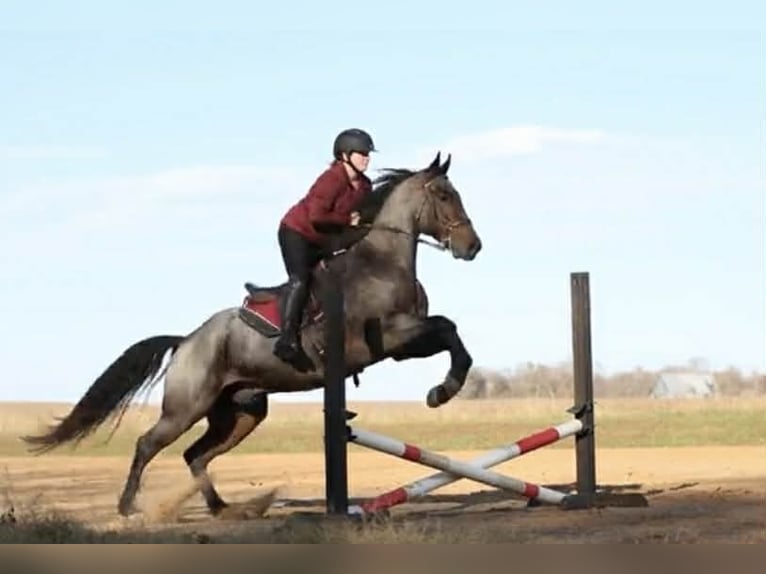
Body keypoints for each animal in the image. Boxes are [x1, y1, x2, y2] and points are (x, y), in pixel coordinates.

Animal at [21, 151, 483, 517]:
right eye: (444, 196)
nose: (472, 246)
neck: (382, 262)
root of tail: (185, 341)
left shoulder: (403, 346)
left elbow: (450, 333)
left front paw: (444, 389)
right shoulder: (388, 336)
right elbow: (446, 326)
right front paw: (444, 391)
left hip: (241, 412)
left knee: (195, 454)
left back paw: (223, 508)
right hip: (187, 407)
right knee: (148, 444)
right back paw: (128, 506)